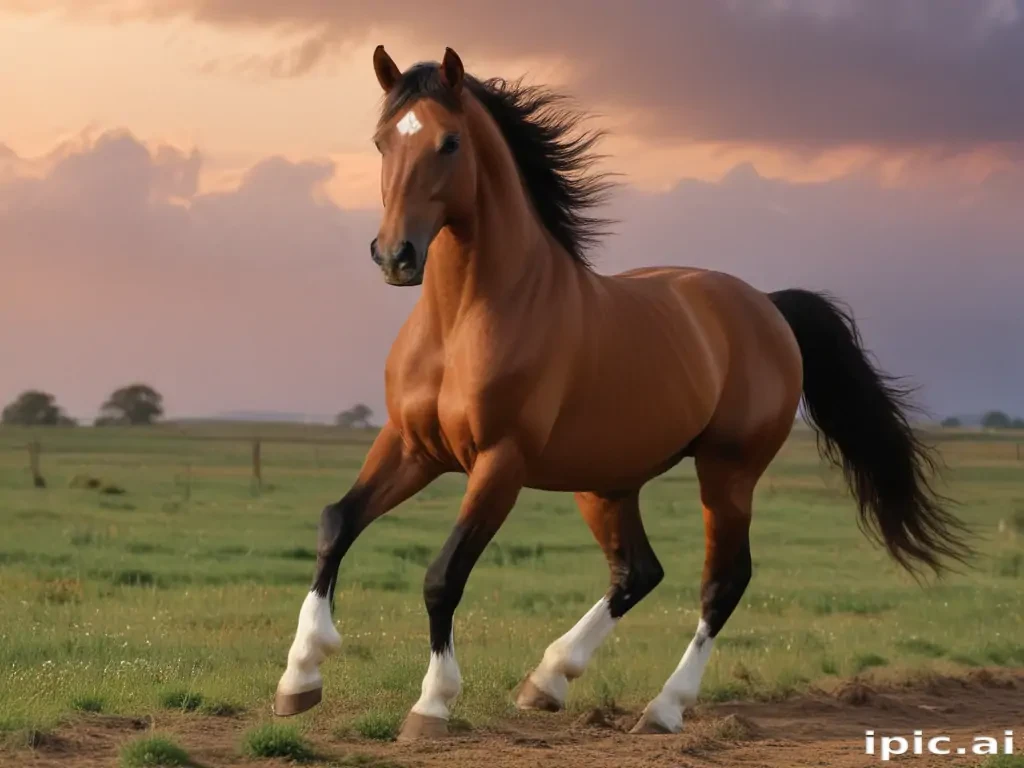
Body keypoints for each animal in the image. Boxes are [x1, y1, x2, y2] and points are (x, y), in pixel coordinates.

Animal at [272, 45, 970, 740]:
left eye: (449, 142)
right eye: (382, 140)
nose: (396, 256)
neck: (466, 319)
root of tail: (767, 306)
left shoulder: (499, 463)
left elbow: (443, 575)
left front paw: (432, 703)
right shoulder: (411, 447)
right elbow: (336, 524)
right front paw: (299, 677)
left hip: (728, 472)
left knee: (723, 582)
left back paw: (662, 708)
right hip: (606, 482)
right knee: (638, 571)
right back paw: (548, 679)